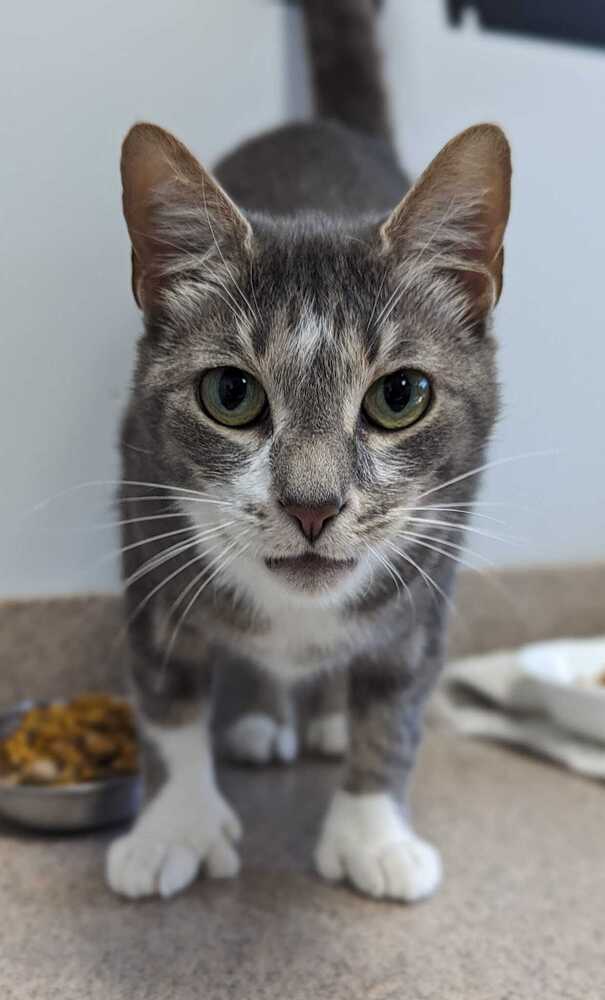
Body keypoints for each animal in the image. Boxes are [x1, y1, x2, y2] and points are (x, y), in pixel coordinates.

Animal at [105, 0, 510, 904]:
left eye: (400, 397)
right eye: (230, 395)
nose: (312, 505)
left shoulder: (432, 568)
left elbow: (392, 701)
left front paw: (373, 833)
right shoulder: (147, 527)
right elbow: (166, 691)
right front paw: (173, 827)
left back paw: (323, 718)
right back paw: (263, 719)